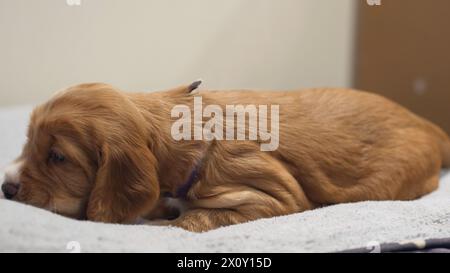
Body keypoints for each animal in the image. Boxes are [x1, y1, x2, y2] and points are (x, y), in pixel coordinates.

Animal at [0, 82, 450, 231]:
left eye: (57, 157)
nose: (6, 186)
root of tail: (431, 126)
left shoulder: (274, 196)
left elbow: (194, 219)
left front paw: (165, 222)